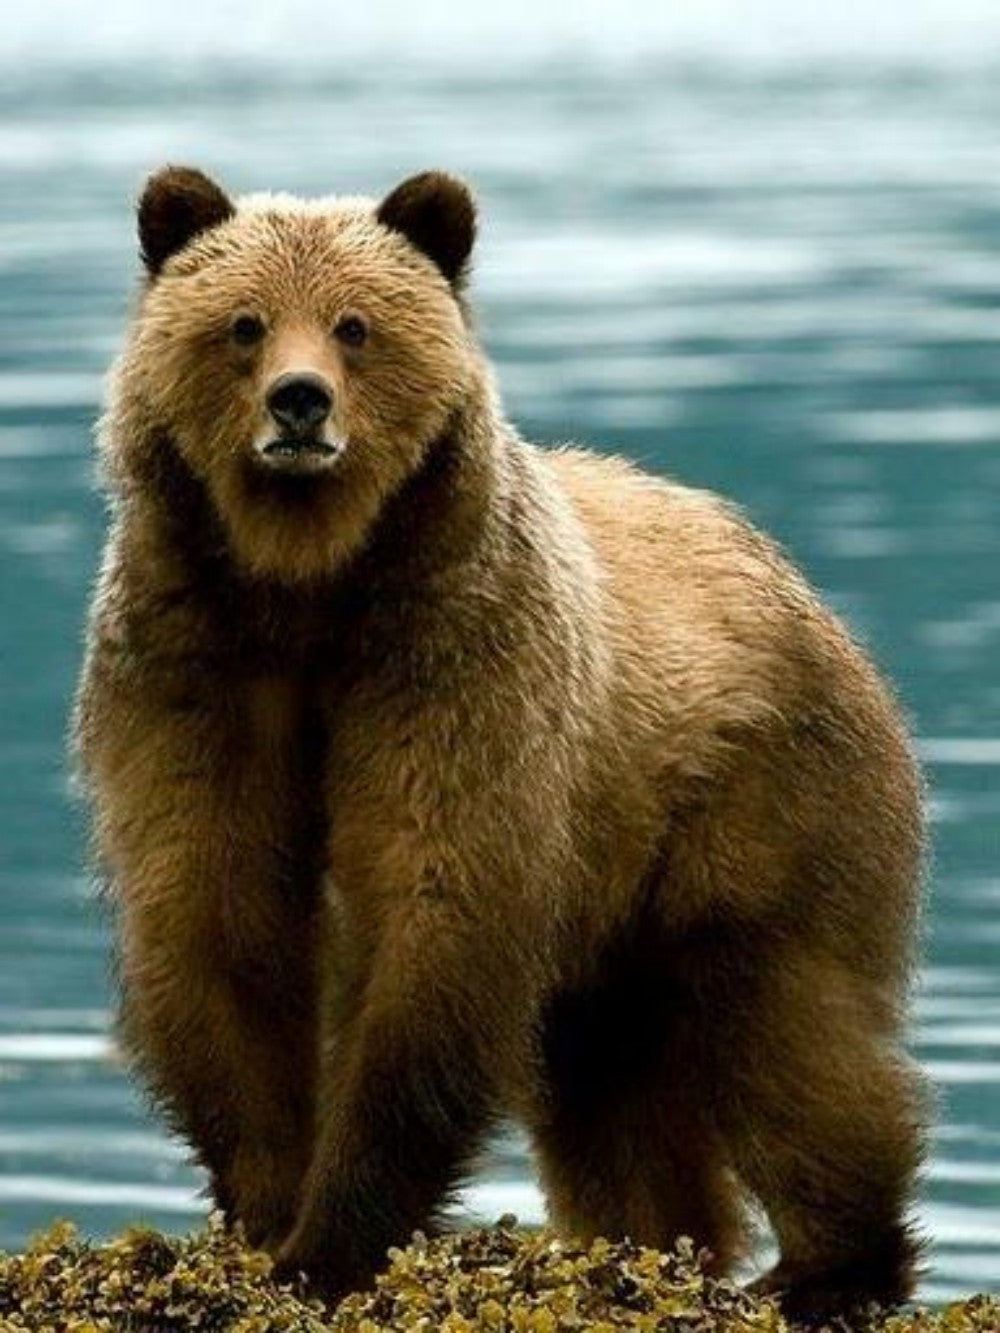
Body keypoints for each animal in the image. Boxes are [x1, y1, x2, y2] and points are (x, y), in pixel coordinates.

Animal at [73, 164, 929, 1324]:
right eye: (243, 324)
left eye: (355, 326)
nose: (300, 402)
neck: (310, 582)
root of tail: (799, 584)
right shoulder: (195, 661)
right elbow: (214, 908)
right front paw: (263, 1214)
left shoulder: (456, 662)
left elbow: (435, 909)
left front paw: (335, 1241)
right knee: (607, 1079)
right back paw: (649, 1246)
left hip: (759, 797)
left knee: (785, 1025)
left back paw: (826, 1266)